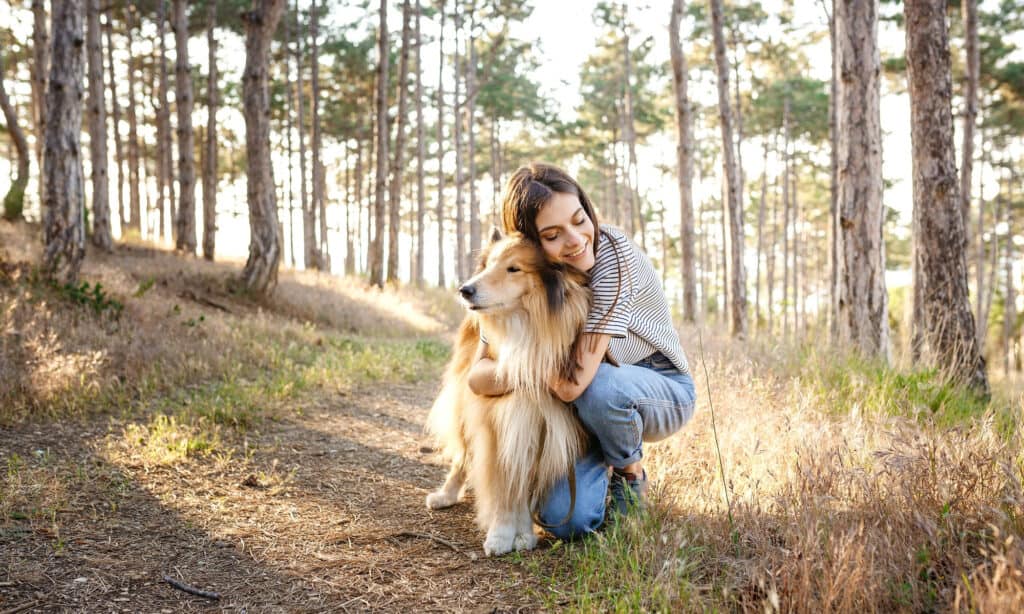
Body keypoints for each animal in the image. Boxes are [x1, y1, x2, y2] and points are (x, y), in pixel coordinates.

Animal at [423, 231, 589, 556]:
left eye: (514, 269)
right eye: (488, 265)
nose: (465, 290)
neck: (524, 328)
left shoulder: (540, 424)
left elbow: (521, 482)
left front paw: (523, 533)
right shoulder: (494, 423)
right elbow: (502, 483)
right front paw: (501, 534)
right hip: (466, 404)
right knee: (462, 457)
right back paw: (445, 495)